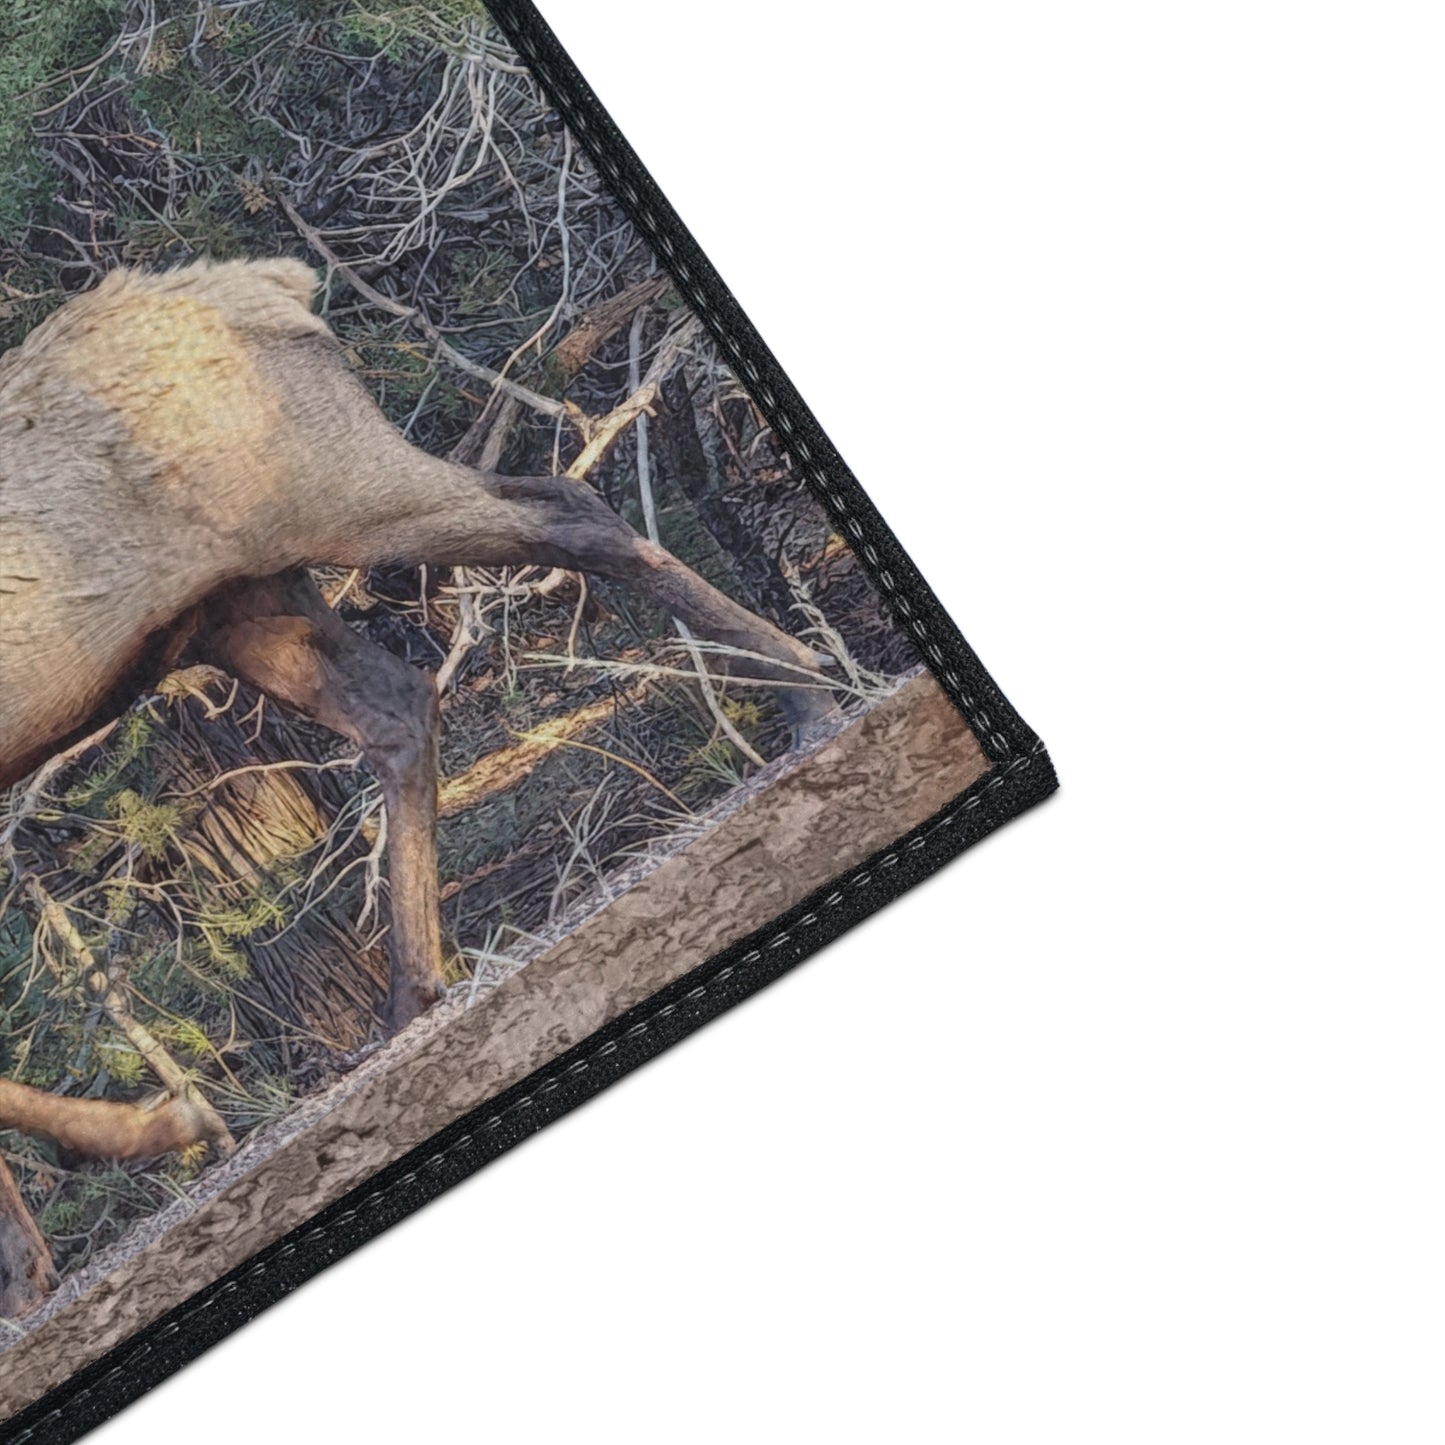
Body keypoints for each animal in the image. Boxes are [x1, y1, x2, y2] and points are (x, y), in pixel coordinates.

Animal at [0, 259, 834, 1309]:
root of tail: (271, 283)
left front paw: (159, 1128)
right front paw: (37, 1260)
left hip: (335, 496)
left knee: (567, 509)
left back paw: (804, 690)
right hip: (236, 602)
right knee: (399, 700)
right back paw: (409, 997)